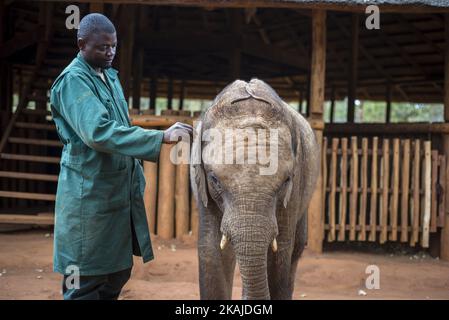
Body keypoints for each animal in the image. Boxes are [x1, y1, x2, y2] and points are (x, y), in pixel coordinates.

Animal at [189, 79, 318, 298]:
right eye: (214, 179)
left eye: (286, 180)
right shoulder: (203, 189)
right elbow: (213, 250)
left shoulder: (295, 184)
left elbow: (280, 251)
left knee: (296, 249)